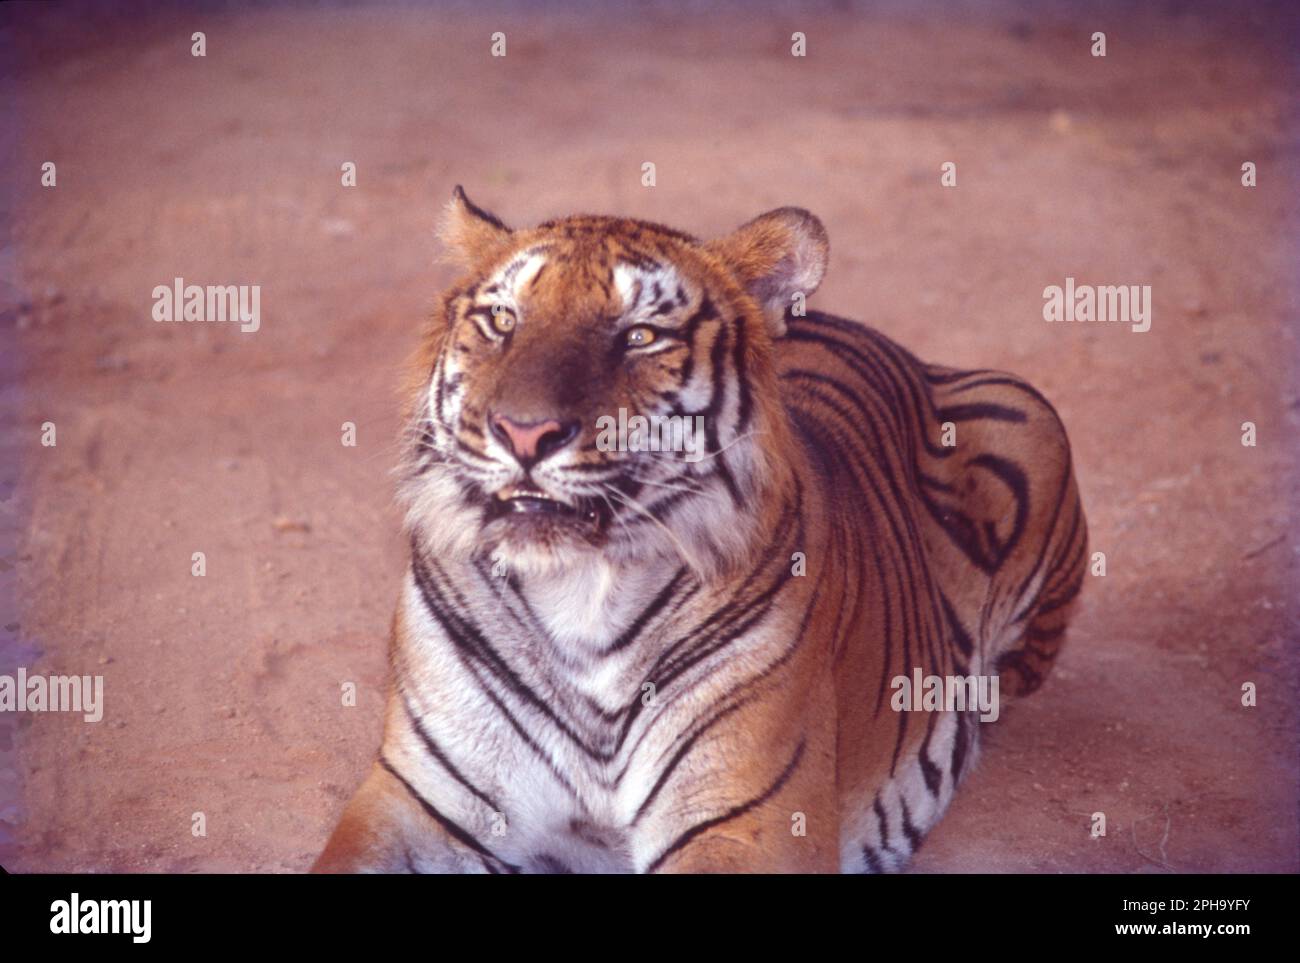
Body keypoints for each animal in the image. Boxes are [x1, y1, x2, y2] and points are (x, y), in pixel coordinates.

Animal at [312, 186, 1087, 874]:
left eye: (640, 336)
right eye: (504, 320)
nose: (523, 431)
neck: (579, 591)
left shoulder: (742, 821)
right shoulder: (424, 801)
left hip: (1034, 416)